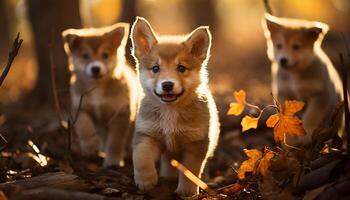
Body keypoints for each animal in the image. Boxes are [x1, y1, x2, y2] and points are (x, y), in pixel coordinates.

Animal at [62, 23, 139, 167]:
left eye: (105, 55)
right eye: (85, 56)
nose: (95, 68)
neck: (97, 89)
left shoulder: (121, 114)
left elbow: (115, 141)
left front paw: (113, 160)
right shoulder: (81, 109)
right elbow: (85, 129)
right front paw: (90, 148)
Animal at [130, 16, 220, 196]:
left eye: (181, 68)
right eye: (155, 68)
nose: (167, 85)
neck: (170, 113)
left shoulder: (196, 143)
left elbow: (191, 170)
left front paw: (187, 190)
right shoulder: (147, 134)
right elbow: (141, 157)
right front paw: (146, 181)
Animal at [262, 13, 342, 145]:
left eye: (296, 47)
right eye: (279, 45)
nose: (283, 60)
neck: (294, 75)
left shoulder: (320, 95)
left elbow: (311, 117)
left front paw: (306, 136)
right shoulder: (284, 94)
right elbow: (287, 119)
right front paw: (290, 140)